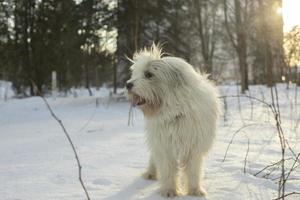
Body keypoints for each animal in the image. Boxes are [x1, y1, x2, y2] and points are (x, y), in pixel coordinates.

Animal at [126, 44, 220, 197]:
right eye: (137, 73)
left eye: (148, 74)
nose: (127, 84)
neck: (176, 112)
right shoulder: (164, 145)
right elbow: (168, 169)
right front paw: (170, 191)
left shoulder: (194, 146)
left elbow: (193, 171)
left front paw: (195, 190)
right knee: (154, 157)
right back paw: (151, 173)